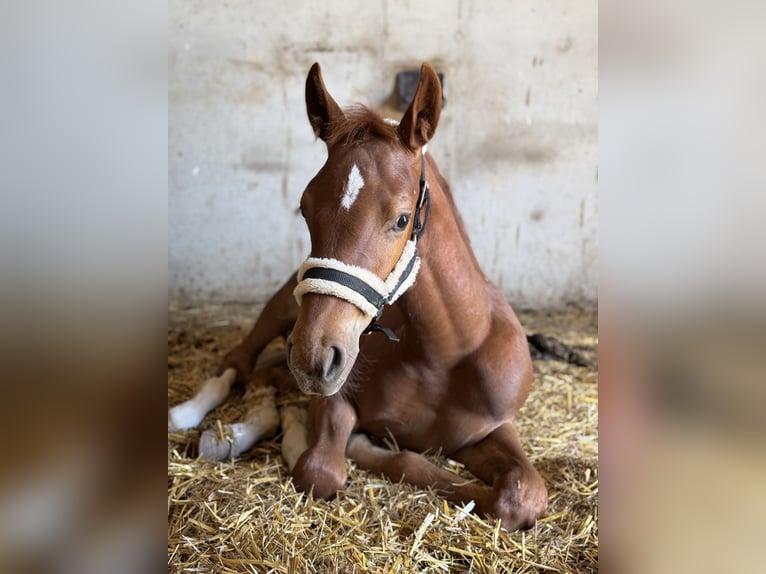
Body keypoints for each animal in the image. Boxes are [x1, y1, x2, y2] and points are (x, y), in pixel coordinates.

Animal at [169, 62, 548, 531]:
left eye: (402, 219)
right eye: (304, 206)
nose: (313, 356)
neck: (445, 352)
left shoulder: (492, 428)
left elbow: (522, 494)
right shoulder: (334, 395)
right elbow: (325, 468)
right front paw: (345, 442)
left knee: (264, 375)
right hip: (282, 312)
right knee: (237, 365)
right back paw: (192, 417)